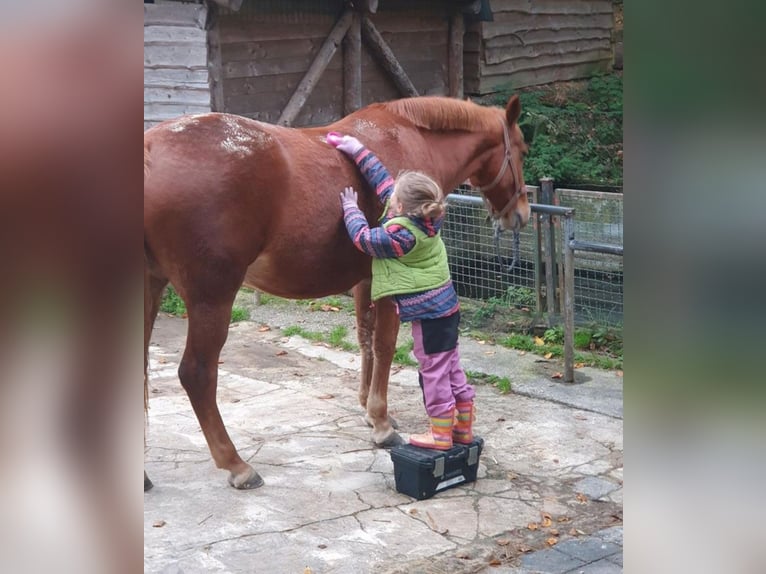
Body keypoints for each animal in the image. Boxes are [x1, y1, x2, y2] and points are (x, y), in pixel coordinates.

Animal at [144, 94, 532, 490]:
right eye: (522, 151)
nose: (521, 214)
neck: (408, 136)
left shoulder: (365, 279)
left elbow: (365, 339)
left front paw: (368, 409)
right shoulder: (389, 281)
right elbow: (385, 346)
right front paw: (381, 423)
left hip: (150, 288)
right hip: (212, 298)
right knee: (197, 374)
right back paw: (236, 464)